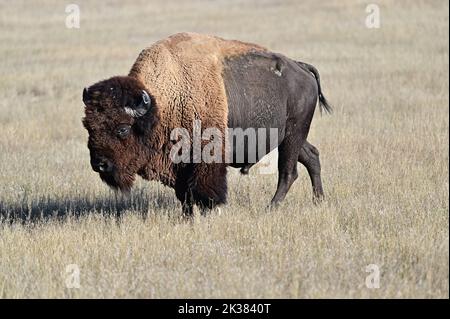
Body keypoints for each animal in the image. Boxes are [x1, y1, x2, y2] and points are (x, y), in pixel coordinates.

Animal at [82, 32, 332, 218]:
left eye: (123, 129)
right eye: (88, 127)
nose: (100, 164)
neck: (163, 102)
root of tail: (302, 68)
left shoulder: (206, 157)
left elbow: (205, 189)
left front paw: (208, 212)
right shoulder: (180, 163)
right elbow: (183, 193)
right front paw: (187, 216)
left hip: (293, 134)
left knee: (288, 171)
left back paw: (271, 208)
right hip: (290, 137)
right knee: (312, 156)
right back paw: (318, 201)